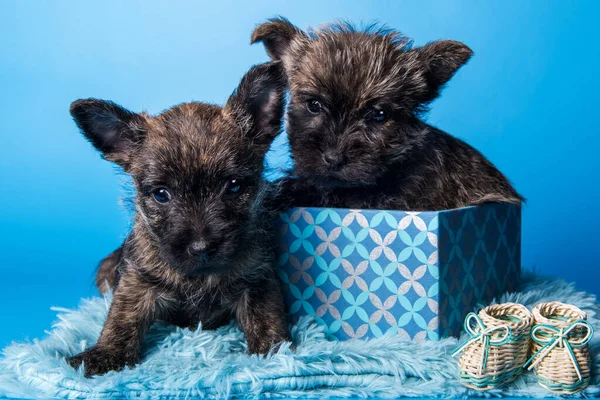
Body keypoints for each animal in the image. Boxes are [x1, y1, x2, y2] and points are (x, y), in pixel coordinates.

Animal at [67, 61, 290, 376]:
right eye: (161, 195)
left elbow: (266, 318)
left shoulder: (258, 279)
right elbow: (122, 318)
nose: (201, 248)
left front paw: (273, 353)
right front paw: (105, 353)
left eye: (234, 186)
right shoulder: (137, 281)